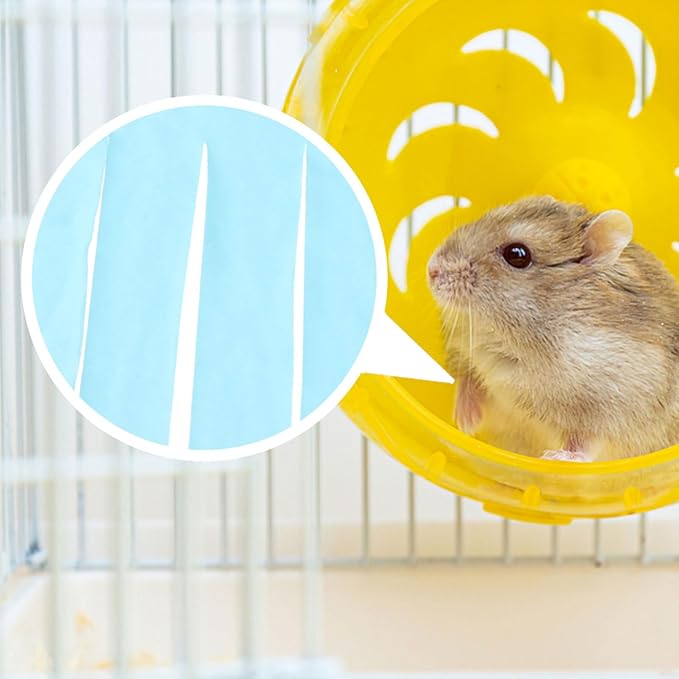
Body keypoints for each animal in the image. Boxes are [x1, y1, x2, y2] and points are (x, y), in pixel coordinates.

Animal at [427, 195, 679, 462]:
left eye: (517, 255)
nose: (431, 269)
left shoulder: (616, 409)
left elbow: (587, 444)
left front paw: (553, 458)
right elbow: (467, 379)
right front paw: (464, 421)